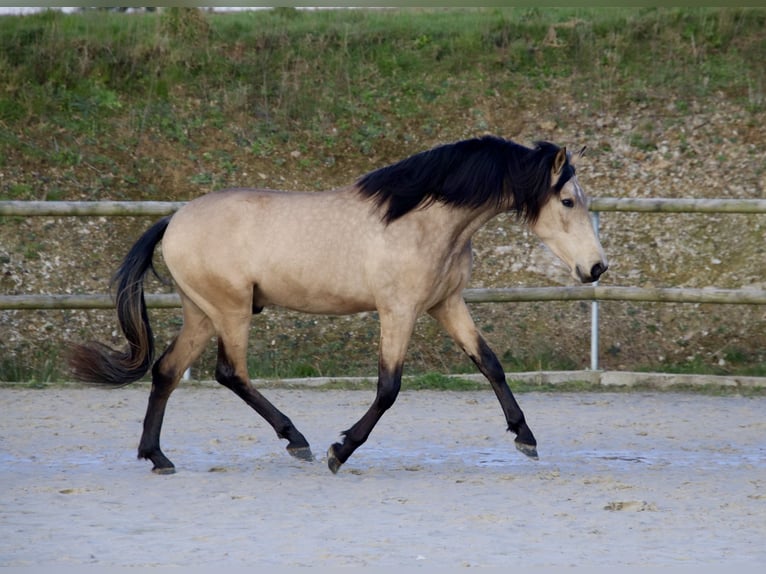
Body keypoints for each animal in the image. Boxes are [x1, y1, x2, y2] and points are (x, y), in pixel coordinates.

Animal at [70, 136, 612, 476]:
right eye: (567, 201)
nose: (597, 268)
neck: (423, 219)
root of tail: (174, 219)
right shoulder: (398, 311)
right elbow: (389, 387)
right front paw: (340, 450)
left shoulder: (446, 304)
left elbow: (490, 364)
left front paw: (526, 438)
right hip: (231, 311)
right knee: (230, 372)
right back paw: (298, 441)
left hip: (202, 313)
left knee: (166, 371)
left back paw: (157, 457)